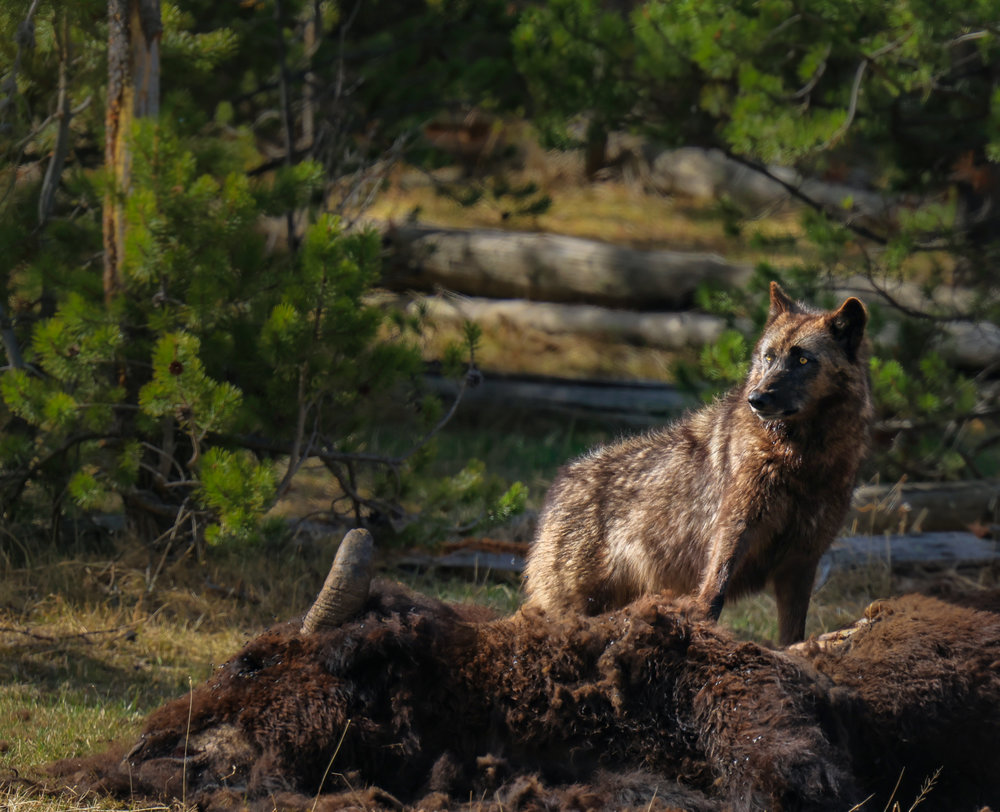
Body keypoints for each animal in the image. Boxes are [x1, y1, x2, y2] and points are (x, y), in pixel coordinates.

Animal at [523, 282, 873, 645]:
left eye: (803, 359)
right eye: (769, 357)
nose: (756, 399)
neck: (802, 459)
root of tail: (561, 482)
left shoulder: (802, 561)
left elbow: (793, 635)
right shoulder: (732, 534)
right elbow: (712, 597)